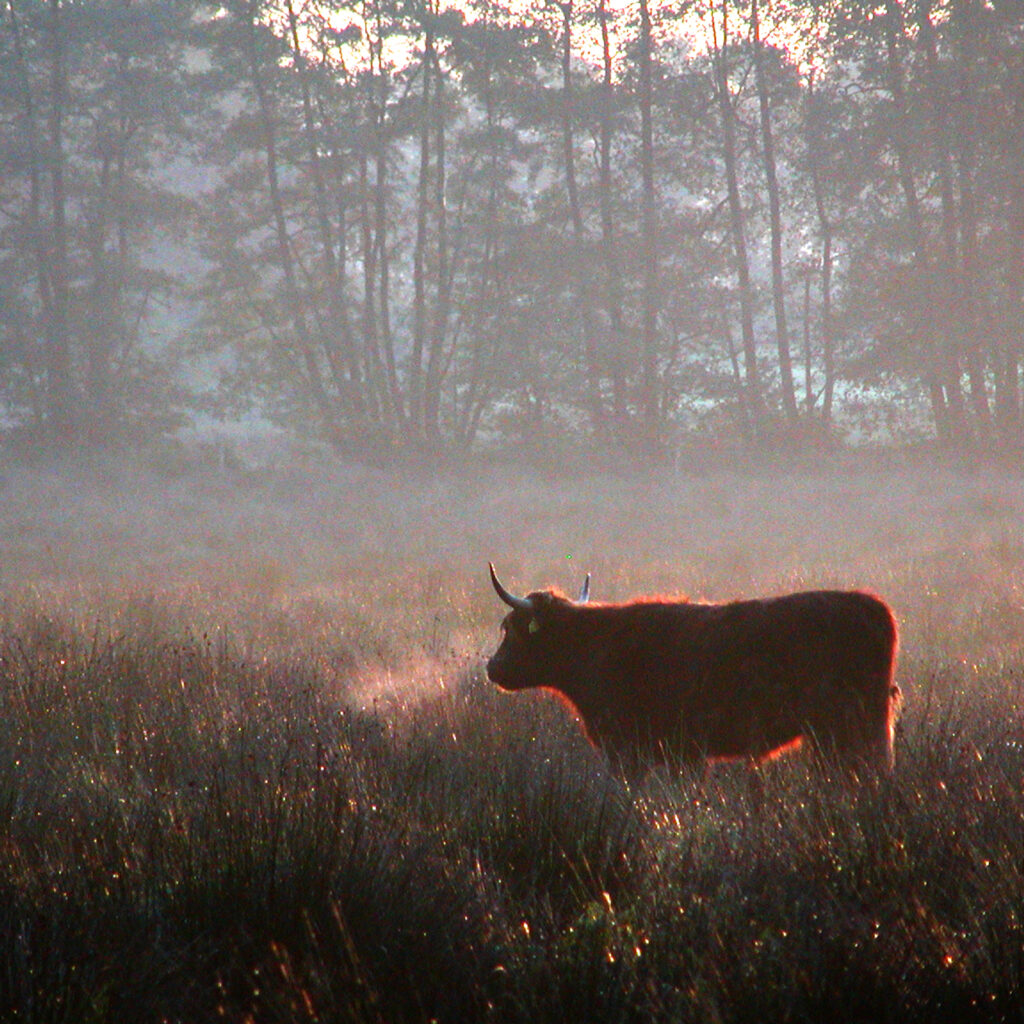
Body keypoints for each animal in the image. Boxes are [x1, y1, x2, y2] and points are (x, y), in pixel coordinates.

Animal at [485, 569, 897, 774]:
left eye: (509, 628)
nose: (492, 667)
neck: (594, 646)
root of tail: (870, 605)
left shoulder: (630, 751)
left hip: (845, 728)